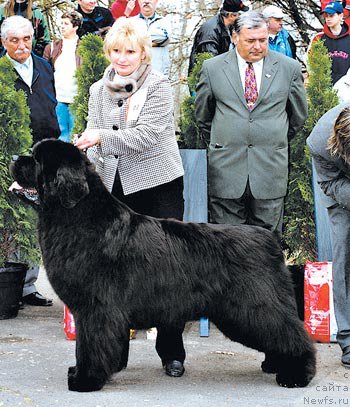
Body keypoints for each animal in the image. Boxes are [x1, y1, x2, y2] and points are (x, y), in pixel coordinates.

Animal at [11, 140, 318, 392]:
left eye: (36, 159)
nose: (14, 156)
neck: (77, 216)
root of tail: (269, 237)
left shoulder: (96, 308)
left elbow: (90, 345)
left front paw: (85, 379)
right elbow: (85, 346)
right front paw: (80, 372)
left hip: (255, 306)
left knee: (292, 334)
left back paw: (296, 375)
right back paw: (276, 365)